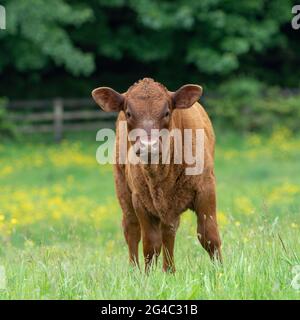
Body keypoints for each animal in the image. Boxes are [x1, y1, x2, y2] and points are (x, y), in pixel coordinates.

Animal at [92, 78, 221, 272]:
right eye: (129, 113)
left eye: (166, 112)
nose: (148, 146)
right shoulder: (140, 199)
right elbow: (150, 245)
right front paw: (148, 276)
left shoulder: (206, 189)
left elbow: (209, 236)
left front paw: (221, 271)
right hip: (123, 189)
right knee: (131, 229)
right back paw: (134, 271)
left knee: (168, 231)